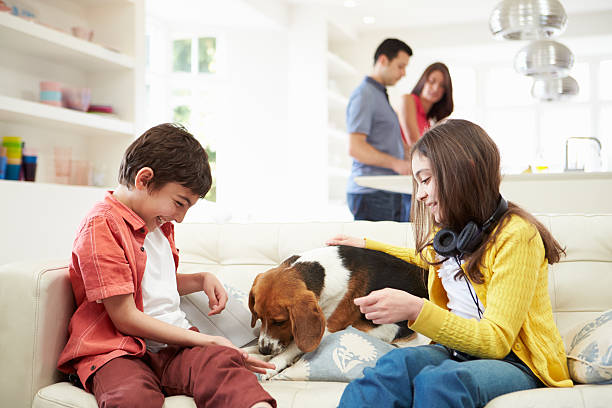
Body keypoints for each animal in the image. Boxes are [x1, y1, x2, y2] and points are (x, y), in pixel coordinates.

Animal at [246, 244, 428, 378]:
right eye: (259, 317)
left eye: (280, 321)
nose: (264, 350)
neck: (324, 273)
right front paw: (250, 351)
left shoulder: (327, 328)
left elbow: (293, 347)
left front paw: (273, 364)